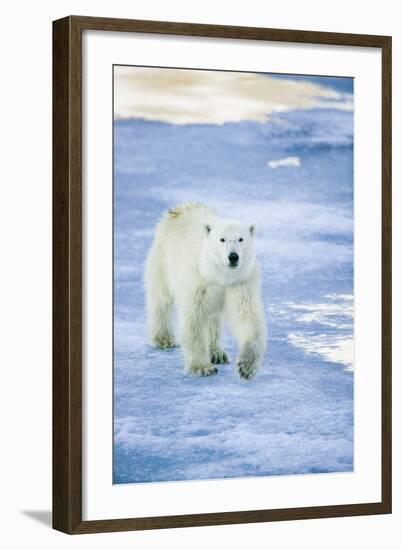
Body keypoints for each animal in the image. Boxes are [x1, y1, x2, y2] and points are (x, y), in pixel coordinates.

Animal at [144, 203, 266, 380]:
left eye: (241, 238)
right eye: (222, 239)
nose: (233, 256)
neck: (221, 276)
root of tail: (181, 207)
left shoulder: (241, 282)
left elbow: (248, 317)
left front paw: (246, 366)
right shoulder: (198, 281)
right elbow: (194, 319)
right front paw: (203, 368)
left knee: (213, 319)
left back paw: (217, 353)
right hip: (162, 259)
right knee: (161, 300)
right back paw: (164, 339)